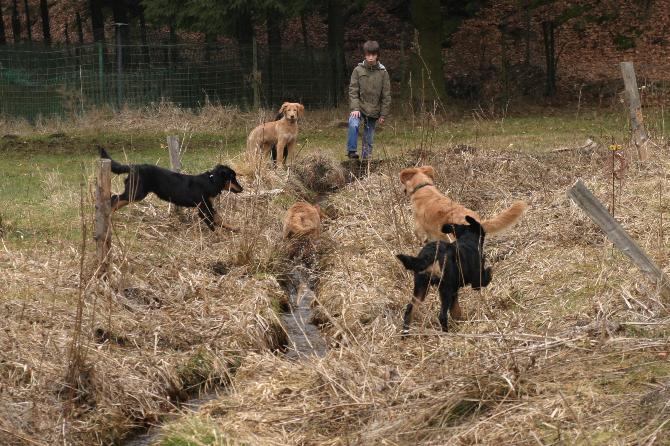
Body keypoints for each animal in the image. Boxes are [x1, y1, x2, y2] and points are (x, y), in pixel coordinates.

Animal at [99, 148, 243, 231]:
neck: (211, 181)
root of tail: (133, 167)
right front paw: (218, 235)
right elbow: (213, 222)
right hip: (136, 193)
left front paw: (233, 228)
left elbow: (219, 218)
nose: (242, 189)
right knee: (115, 199)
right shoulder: (203, 208)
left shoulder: (208, 206)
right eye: (233, 177)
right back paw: (108, 215)